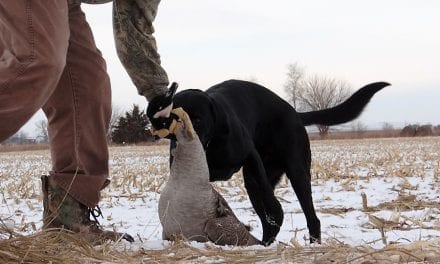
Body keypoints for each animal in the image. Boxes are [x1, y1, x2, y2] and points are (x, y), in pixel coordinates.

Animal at [150, 79, 388, 245]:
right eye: (168, 120)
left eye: (199, 119)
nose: (188, 137)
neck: (210, 146)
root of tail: (295, 113)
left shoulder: (251, 156)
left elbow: (271, 201)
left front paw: (277, 212)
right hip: (252, 184)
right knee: (267, 222)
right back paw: (265, 242)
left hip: (295, 172)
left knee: (309, 216)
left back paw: (311, 242)